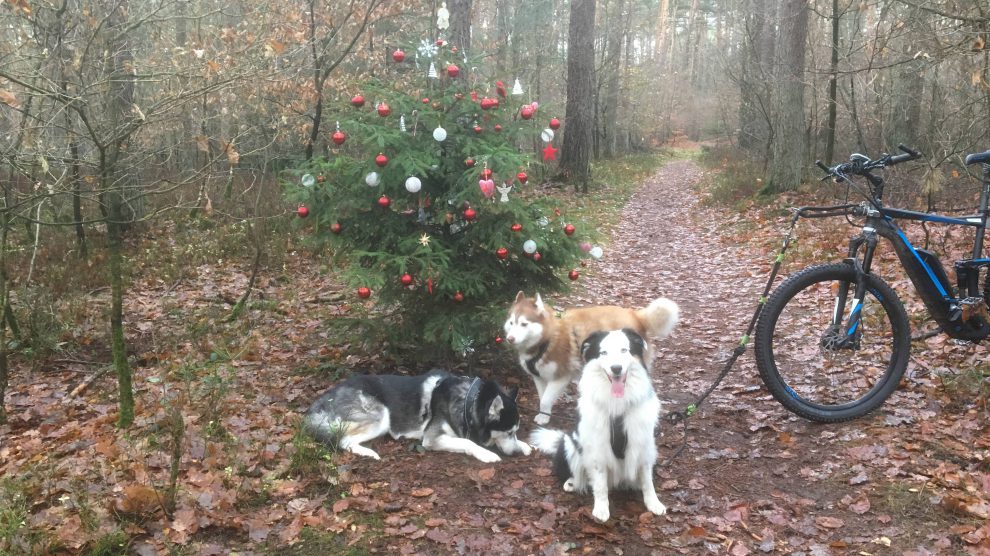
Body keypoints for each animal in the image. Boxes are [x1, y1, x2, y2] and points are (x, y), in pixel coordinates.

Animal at [306, 368, 532, 462]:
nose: (516, 454)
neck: (468, 400)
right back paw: (369, 453)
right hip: (381, 416)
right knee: (344, 441)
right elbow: (468, 442)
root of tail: (318, 403)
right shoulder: (432, 438)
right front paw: (487, 454)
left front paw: (525, 445)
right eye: (508, 432)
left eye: (515, 431)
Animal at [536, 326, 676, 520]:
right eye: (603, 353)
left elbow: (647, 481)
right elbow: (600, 484)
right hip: (570, 443)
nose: (616, 368)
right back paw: (572, 483)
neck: (617, 407)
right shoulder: (598, 449)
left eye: (624, 350)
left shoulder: (643, 445)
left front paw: (653, 503)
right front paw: (601, 509)